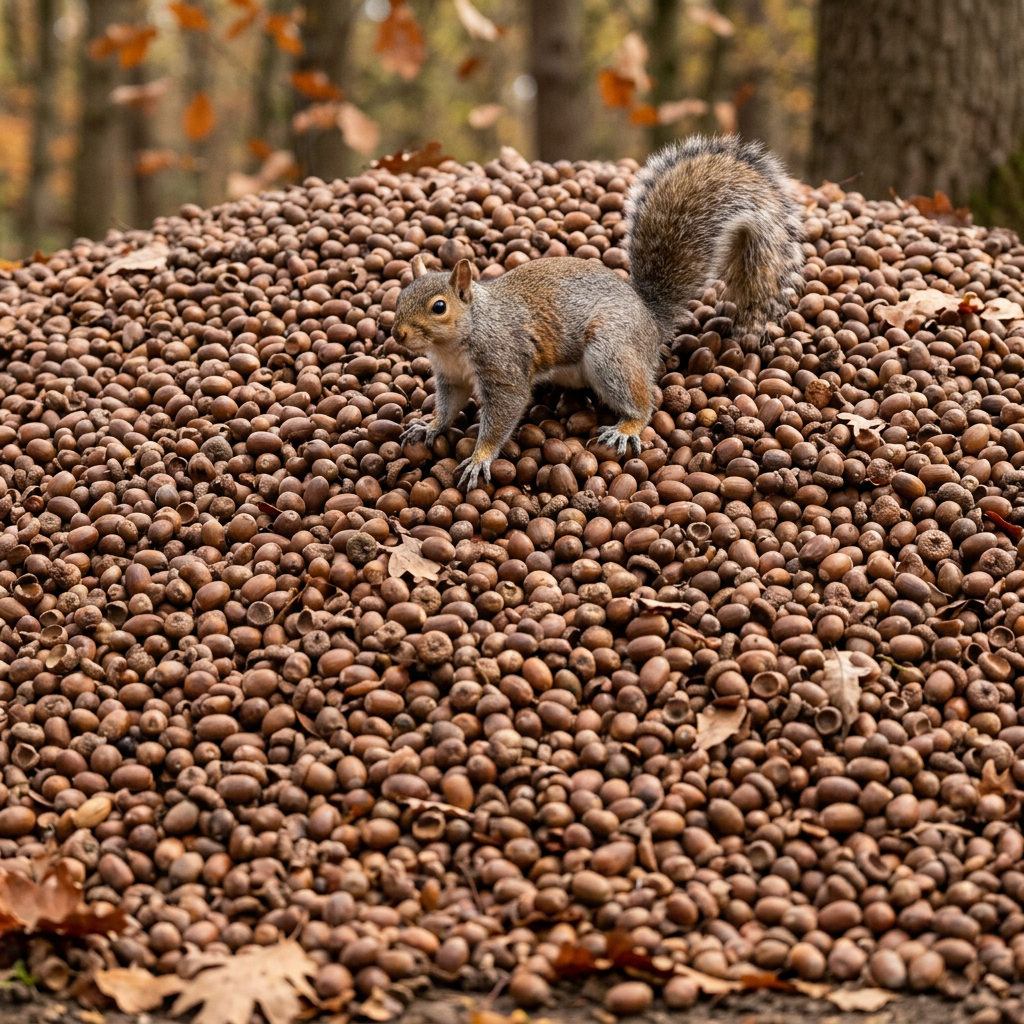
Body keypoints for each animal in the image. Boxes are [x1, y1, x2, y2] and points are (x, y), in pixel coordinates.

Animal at [392, 134, 803, 490]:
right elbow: (449, 407)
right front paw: (430, 426)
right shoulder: (451, 378)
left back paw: (626, 428)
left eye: (439, 307)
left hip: (610, 351)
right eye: (399, 298)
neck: (457, 341)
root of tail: (649, 319)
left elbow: (502, 414)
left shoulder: (502, 366)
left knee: (644, 401)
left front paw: (480, 458)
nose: (397, 334)